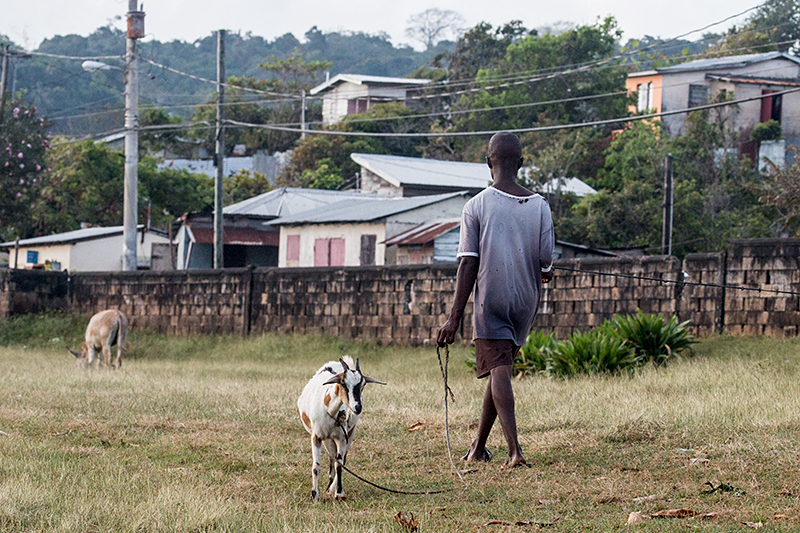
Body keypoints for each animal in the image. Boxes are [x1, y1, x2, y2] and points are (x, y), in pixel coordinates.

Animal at [300, 356, 388, 500]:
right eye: (343, 383)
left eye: (363, 385)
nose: (357, 407)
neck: (330, 411)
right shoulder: (316, 437)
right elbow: (316, 467)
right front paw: (314, 495)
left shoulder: (342, 437)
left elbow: (340, 464)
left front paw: (339, 493)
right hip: (327, 439)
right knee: (331, 457)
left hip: (349, 434)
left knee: (338, 459)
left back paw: (331, 488)